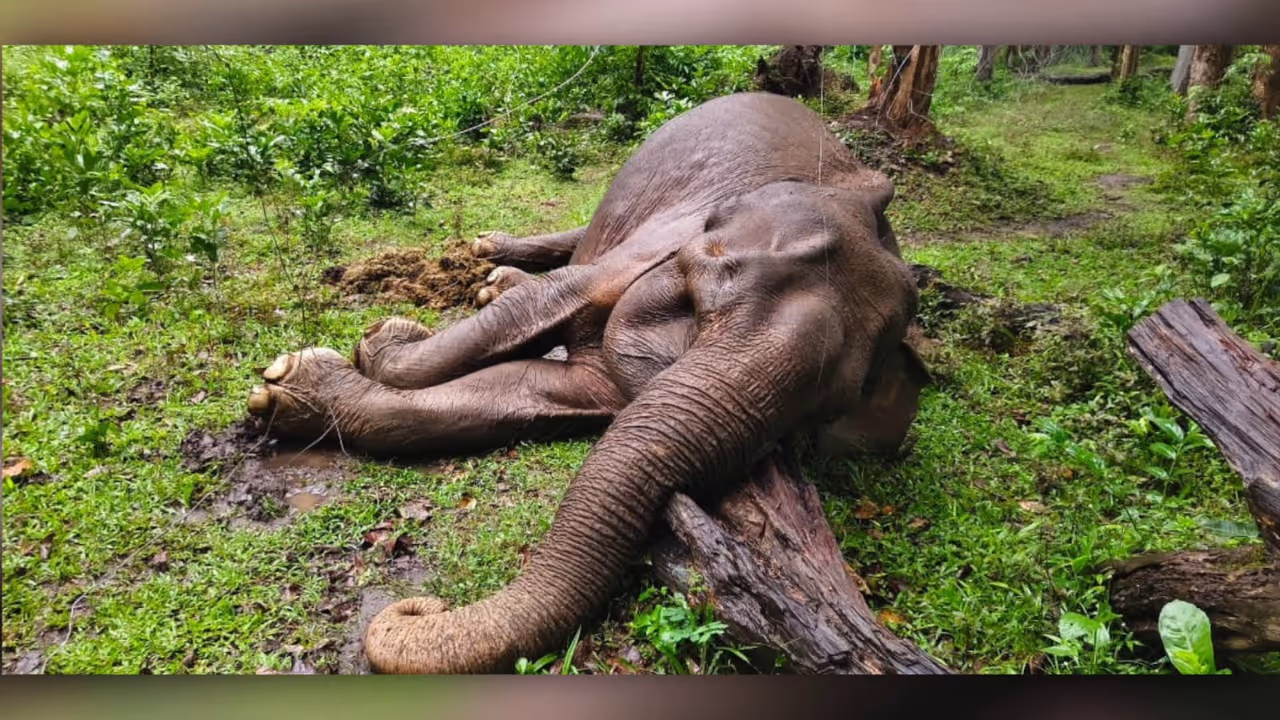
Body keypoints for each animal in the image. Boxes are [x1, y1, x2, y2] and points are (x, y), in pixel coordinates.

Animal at [246, 91, 930, 674]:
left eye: (832, 404)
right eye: (699, 296)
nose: (423, 608)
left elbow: (540, 392)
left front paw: (294, 385)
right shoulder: (659, 242)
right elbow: (545, 303)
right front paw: (365, 345)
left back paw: (495, 276)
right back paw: (488, 259)